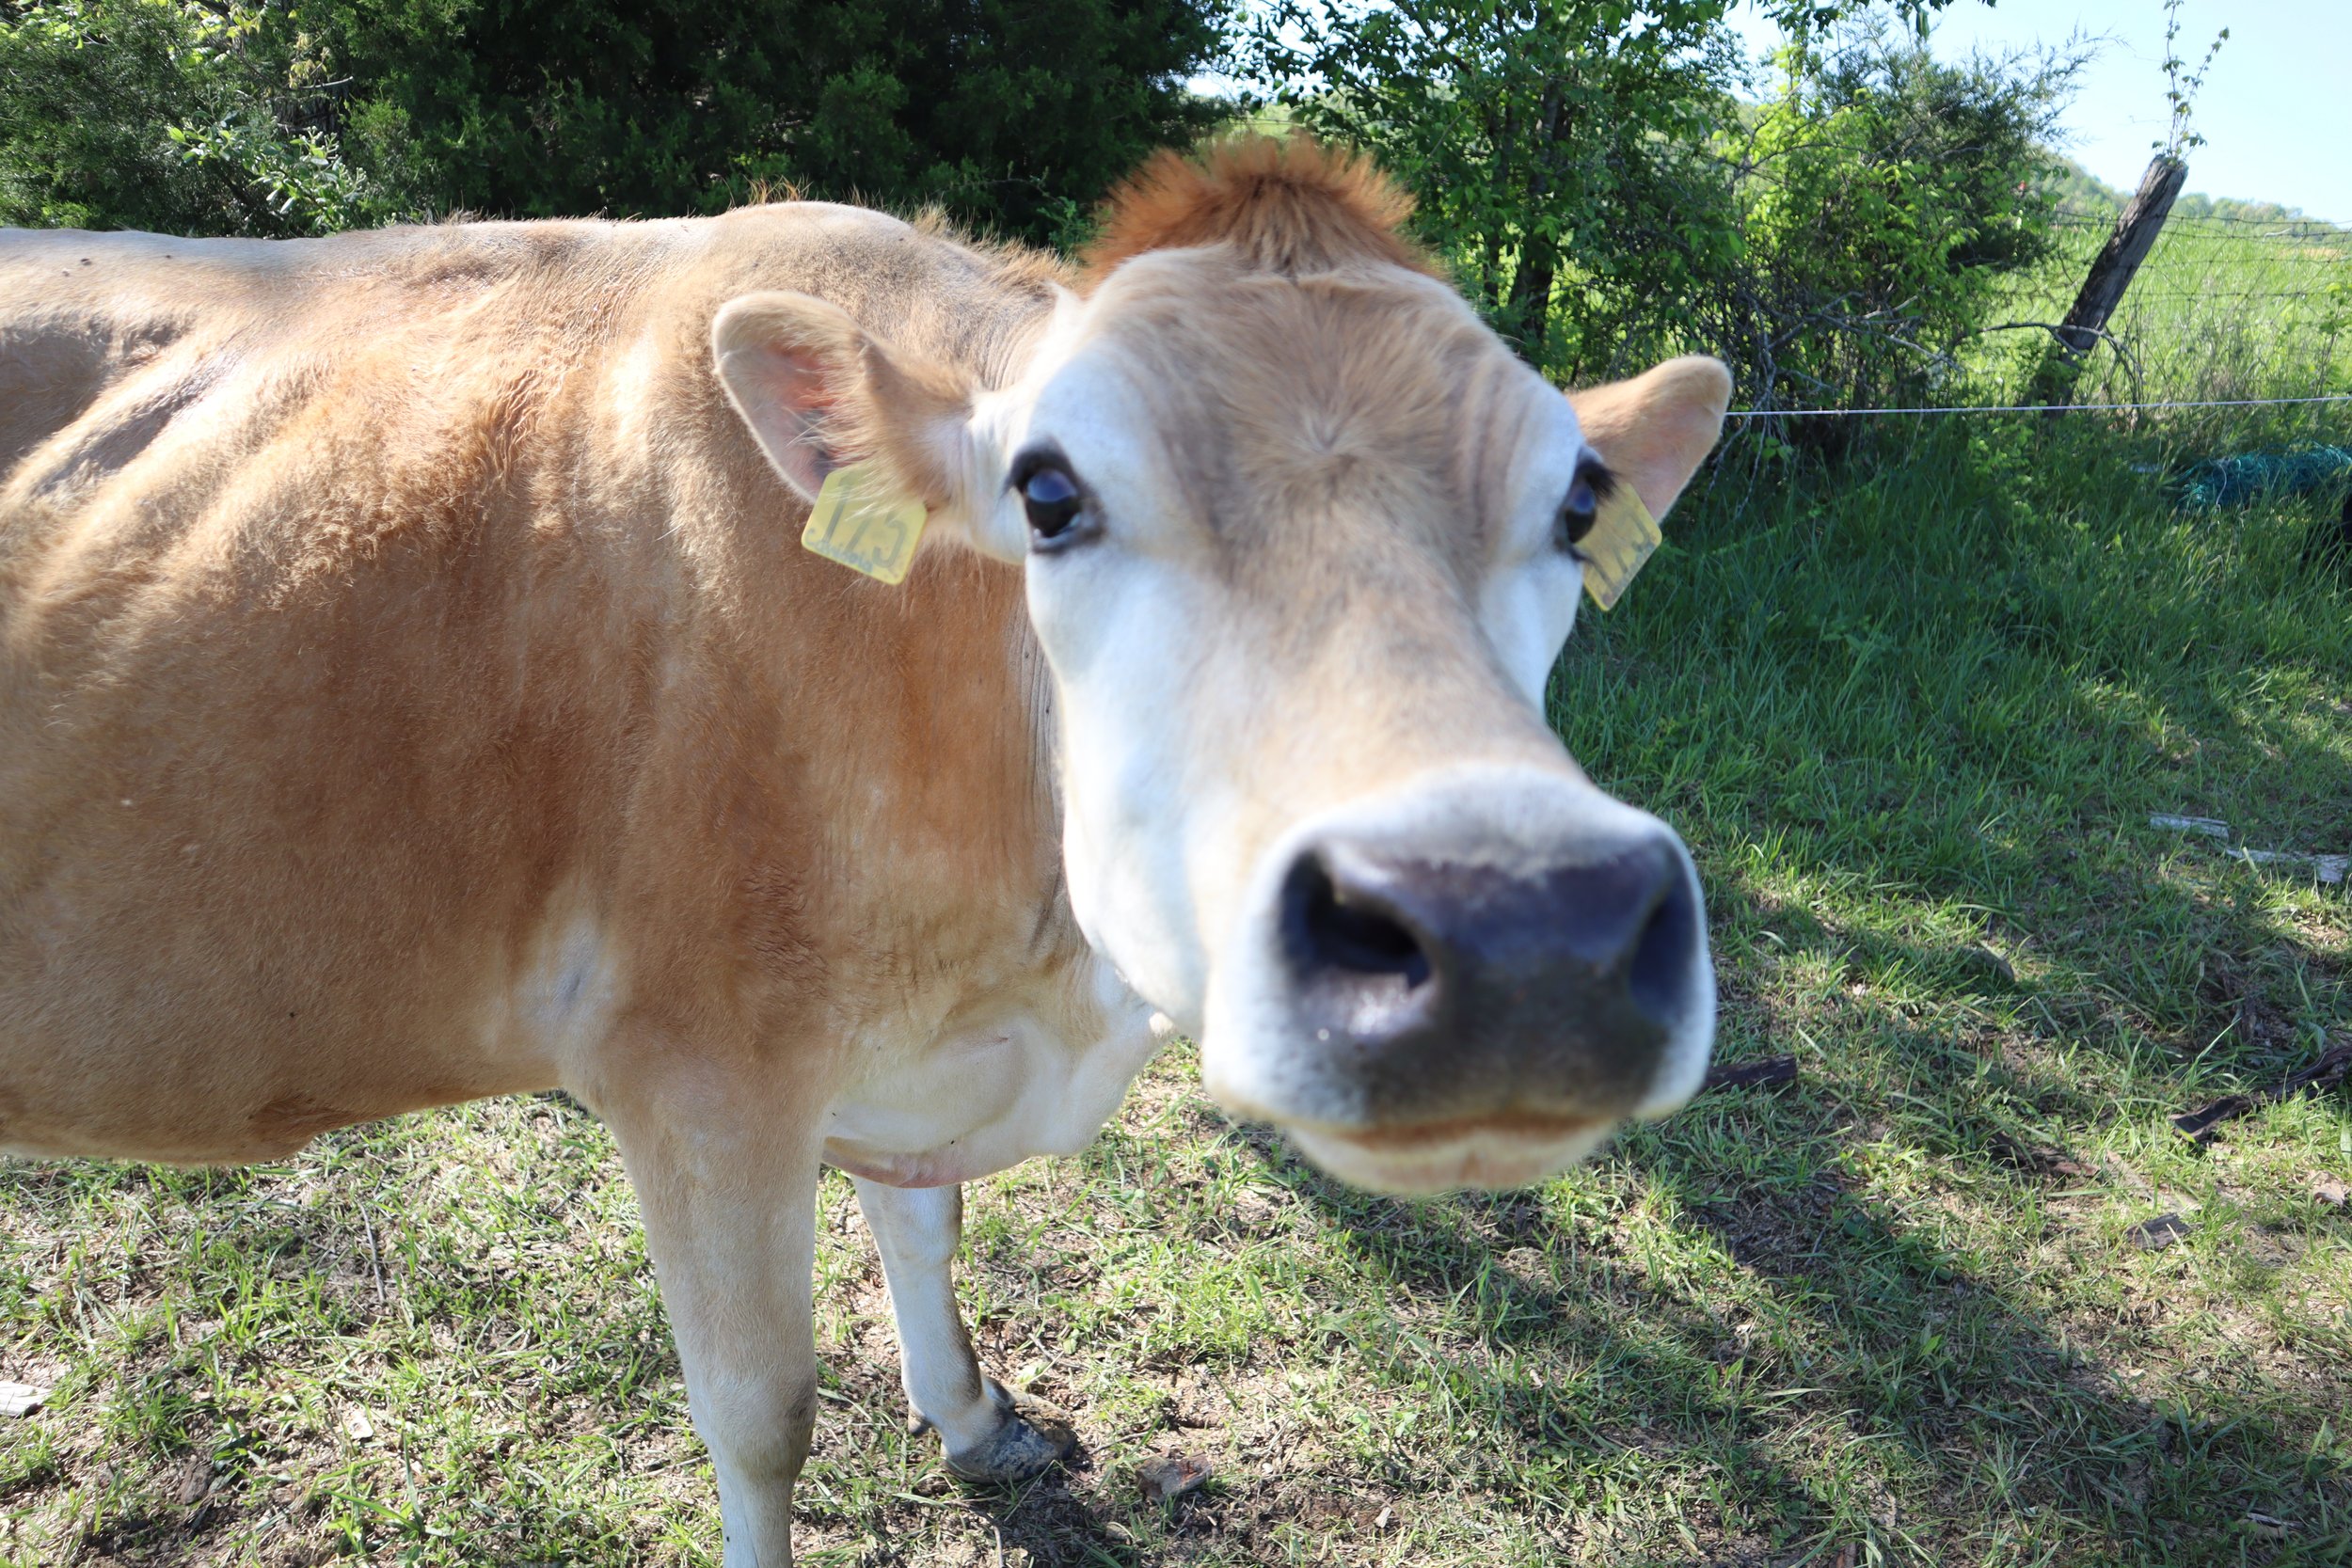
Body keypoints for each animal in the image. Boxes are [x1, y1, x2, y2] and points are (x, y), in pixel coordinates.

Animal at [0, 136, 1730, 1563]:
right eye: (1049, 492)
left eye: (1578, 503)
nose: (1521, 933)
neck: (1036, 969)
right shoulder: (694, 1067)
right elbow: (760, 1412)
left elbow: (925, 1219)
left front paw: (969, 1413)